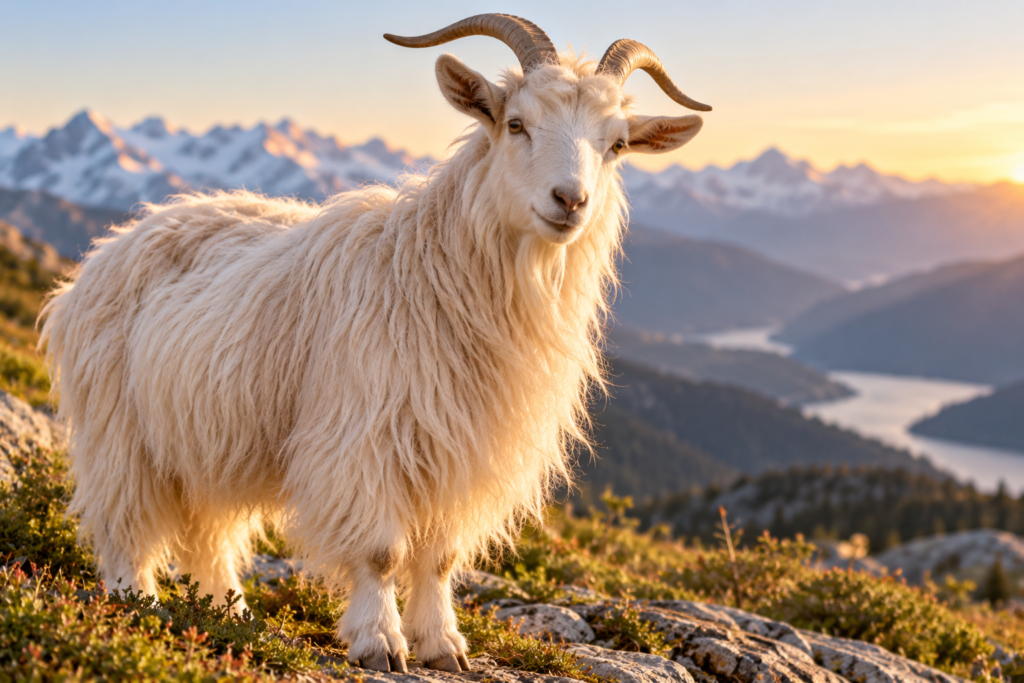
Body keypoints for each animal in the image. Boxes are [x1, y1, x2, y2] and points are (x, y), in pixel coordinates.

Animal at [40, 14, 708, 673]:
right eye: (516, 123)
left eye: (616, 144)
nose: (570, 201)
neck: (431, 271)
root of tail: (107, 250)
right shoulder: (362, 440)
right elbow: (382, 552)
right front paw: (380, 642)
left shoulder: (461, 450)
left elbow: (439, 556)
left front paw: (443, 645)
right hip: (121, 432)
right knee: (124, 520)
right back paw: (137, 601)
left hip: (206, 441)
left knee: (208, 533)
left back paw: (231, 613)